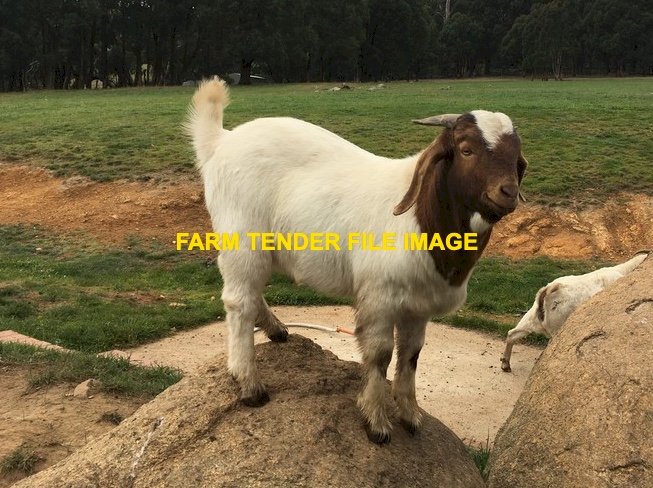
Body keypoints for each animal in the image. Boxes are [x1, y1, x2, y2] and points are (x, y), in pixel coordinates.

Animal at [187, 78, 528, 444]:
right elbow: (380, 354)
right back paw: (250, 385)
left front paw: (410, 415)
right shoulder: (379, 297)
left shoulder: (418, 306)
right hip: (241, 238)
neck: (420, 218)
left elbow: (411, 355)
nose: (507, 192)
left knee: (251, 295)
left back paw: (276, 329)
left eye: (517, 159)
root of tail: (221, 141)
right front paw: (376, 421)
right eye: (466, 149)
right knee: (239, 302)